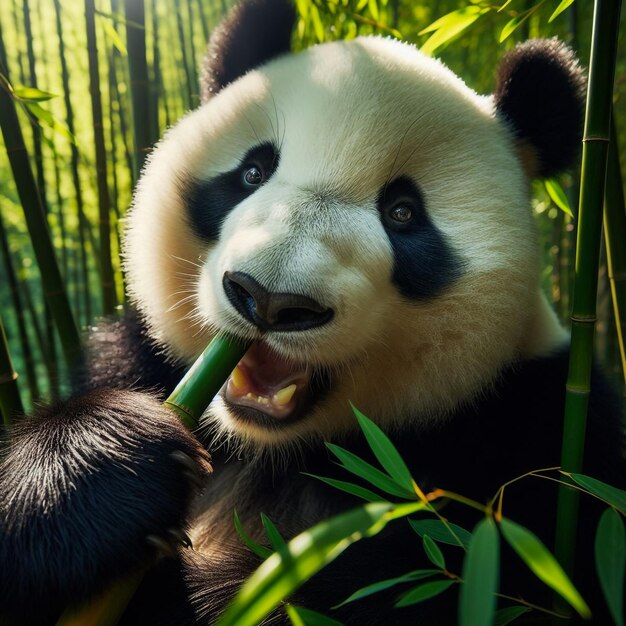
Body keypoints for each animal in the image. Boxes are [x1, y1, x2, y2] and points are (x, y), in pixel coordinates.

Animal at [1, 0, 624, 620]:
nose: (269, 299)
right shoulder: (137, 358)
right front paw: (98, 466)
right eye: (252, 172)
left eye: (403, 213)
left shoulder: (541, 447)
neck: (278, 450)